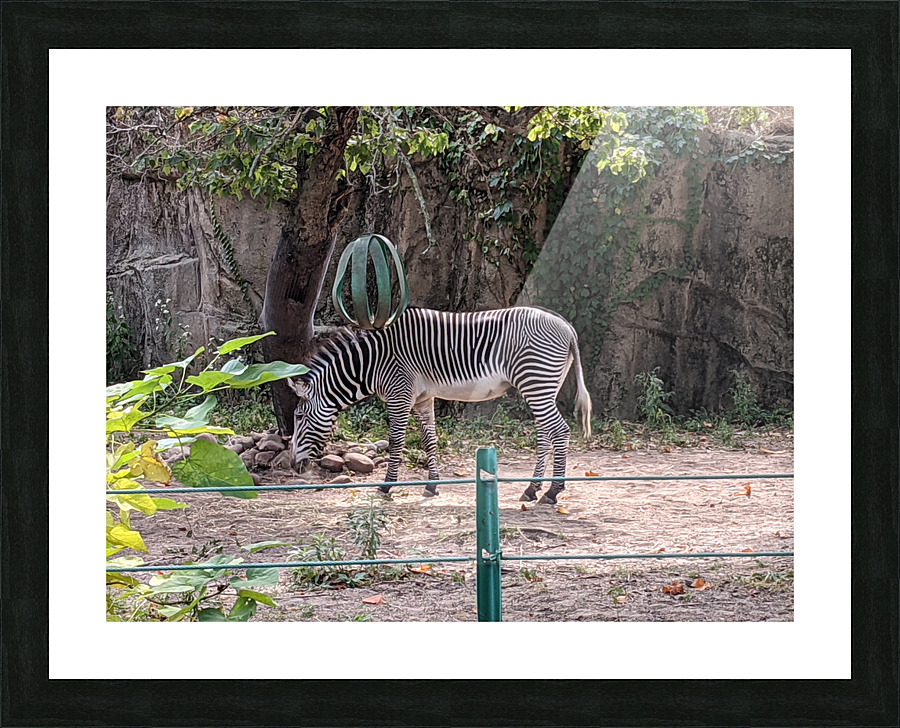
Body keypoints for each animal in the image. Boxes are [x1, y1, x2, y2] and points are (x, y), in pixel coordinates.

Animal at [288, 306, 592, 504]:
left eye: (300, 416)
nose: (292, 464)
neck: (371, 362)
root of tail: (566, 326)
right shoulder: (423, 398)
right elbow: (429, 440)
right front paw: (432, 485)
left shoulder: (400, 395)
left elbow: (396, 442)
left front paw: (386, 486)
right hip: (543, 386)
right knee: (546, 435)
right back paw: (532, 489)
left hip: (535, 381)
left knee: (560, 431)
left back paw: (552, 491)